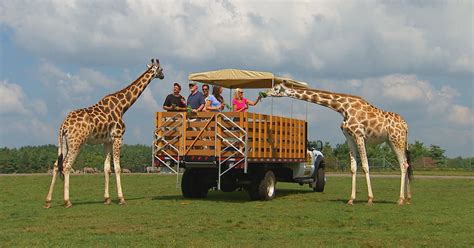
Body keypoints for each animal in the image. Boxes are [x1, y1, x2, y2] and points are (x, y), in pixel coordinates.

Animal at [44, 59, 165, 208]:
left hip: (64, 143)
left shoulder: (107, 141)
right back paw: (67, 201)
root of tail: (63, 126)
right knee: (66, 166)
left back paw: (48, 201)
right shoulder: (118, 137)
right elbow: (117, 168)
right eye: (161, 69)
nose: (163, 76)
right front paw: (121, 198)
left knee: (56, 165)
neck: (123, 106)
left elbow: (107, 168)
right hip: (77, 143)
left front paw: (107, 199)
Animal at [264, 82, 412, 205]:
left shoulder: (359, 135)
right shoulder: (349, 137)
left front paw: (370, 199)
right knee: (406, 163)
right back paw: (408, 198)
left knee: (403, 164)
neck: (342, 108)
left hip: (396, 139)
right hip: (393, 141)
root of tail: (406, 126)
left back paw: (400, 199)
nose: (264, 93)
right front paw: (351, 199)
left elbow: (365, 166)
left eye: (276, 89)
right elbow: (353, 168)